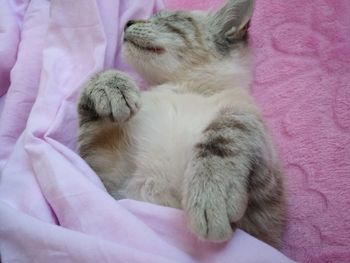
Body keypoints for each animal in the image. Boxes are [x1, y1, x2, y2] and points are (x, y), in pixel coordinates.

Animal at [76, 0, 284, 249]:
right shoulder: (106, 174)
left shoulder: (264, 209)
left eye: (169, 20)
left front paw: (210, 195)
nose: (128, 23)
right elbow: (96, 87)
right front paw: (112, 86)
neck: (181, 87)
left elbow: (227, 133)